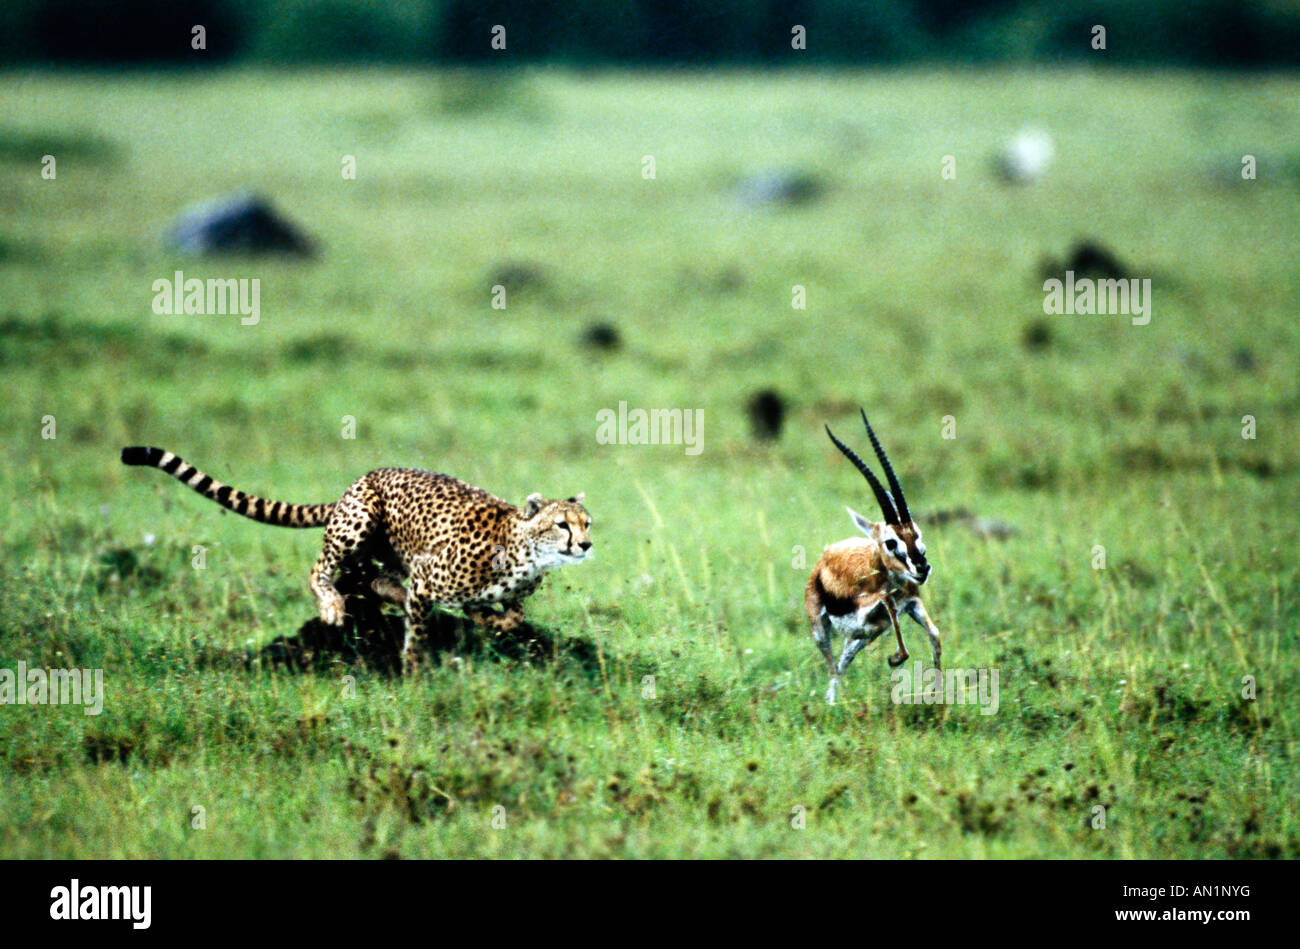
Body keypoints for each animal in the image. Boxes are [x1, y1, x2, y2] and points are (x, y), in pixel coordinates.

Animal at [120, 447, 590, 670]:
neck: (526, 553)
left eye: (587, 523)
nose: (585, 545)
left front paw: (487, 620)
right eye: (561, 525)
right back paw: (331, 606)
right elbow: (419, 631)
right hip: (360, 522)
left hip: (386, 551)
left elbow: (512, 616)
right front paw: (413, 668)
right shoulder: (427, 575)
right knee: (322, 570)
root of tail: (362, 478)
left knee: (374, 581)